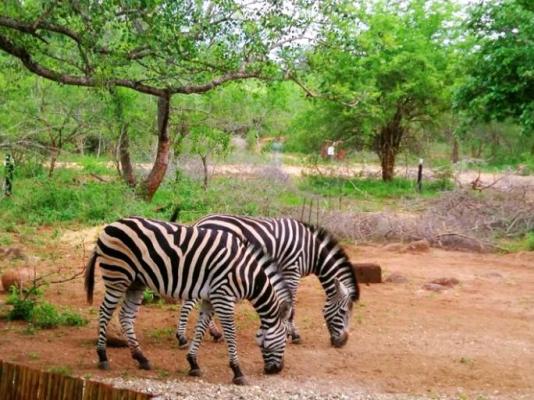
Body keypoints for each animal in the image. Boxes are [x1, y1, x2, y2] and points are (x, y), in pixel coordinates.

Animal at [84, 217, 294, 386]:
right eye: (284, 338)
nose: (277, 370)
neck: (246, 273)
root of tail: (109, 226)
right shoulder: (223, 297)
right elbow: (230, 334)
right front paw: (237, 372)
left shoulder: (210, 298)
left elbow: (201, 328)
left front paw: (193, 363)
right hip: (117, 277)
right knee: (105, 312)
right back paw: (102, 356)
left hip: (136, 282)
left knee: (125, 316)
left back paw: (141, 358)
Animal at [178, 214, 362, 348]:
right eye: (344, 312)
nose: (342, 342)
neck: (312, 252)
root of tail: (200, 222)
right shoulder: (292, 270)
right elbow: (291, 305)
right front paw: (292, 334)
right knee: (190, 301)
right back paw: (181, 337)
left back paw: (214, 333)